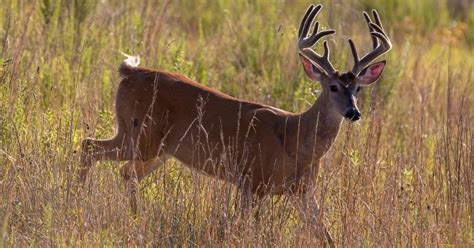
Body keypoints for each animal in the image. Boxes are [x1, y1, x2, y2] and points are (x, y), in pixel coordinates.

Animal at [80, 3, 392, 246]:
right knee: (89, 146)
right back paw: (80, 198)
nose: (353, 112)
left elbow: (325, 235)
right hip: (139, 135)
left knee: (125, 171)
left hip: (158, 149)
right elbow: (245, 228)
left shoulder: (303, 191)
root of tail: (129, 72)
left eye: (358, 89)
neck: (294, 138)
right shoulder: (252, 179)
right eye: (333, 87)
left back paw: (135, 218)